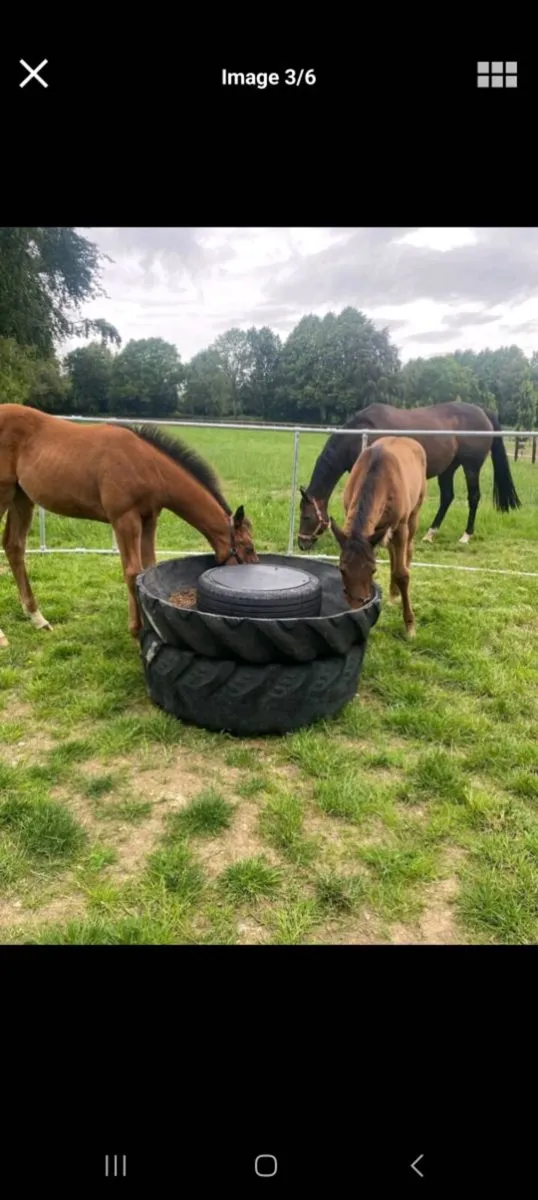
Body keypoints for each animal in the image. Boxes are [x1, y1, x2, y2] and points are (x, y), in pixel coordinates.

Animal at [0, 405, 257, 648]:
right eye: (248, 547)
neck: (147, 465)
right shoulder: (124, 519)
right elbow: (133, 571)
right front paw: (136, 633)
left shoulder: (149, 520)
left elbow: (149, 568)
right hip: (4, 495)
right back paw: (4, 637)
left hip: (21, 498)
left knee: (14, 547)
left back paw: (38, 618)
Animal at [298, 401, 521, 551]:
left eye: (306, 516)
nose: (302, 544)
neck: (359, 433)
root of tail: (483, 412)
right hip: (448, 469)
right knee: (447, 497)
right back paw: (430, 534)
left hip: (471, 467)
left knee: (473, 497)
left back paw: (465, 536)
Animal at [329, 436, 427, 638]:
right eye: (342, 569)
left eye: (373, 570)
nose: (357, 607)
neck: (378, 475)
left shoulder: (400, 527)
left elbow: (402, 574)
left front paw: (410, 626)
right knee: (392, 553)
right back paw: (392, 593)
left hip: (414, 513)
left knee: (408, 551)